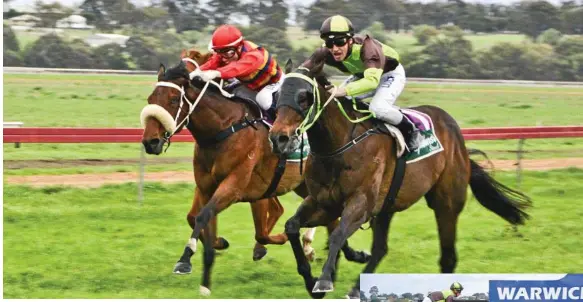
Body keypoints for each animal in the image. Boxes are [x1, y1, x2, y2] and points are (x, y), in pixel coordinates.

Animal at [140, 53, 370, 296]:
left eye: (174, 99)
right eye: (151, 98)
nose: (150, 142)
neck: (224, 130)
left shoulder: (234, 186)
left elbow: (203, 216)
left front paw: (185, 260)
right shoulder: (207, 187)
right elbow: (197, 218)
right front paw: (212, 260)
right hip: (305, 187)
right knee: (330, 220)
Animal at [270, 65, 532, 298]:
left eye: (304, 97)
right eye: (277, 94)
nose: (278, 138)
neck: (338, 146)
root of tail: (459, 141)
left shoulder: (361, 204)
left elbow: (337, 234)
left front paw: (323, 280)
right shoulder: (324, 202)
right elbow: (292, 226)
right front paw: (309, 278)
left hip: (446, 202)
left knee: (448, 256)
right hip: (387, 207)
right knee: (381, 249)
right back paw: (356, 289)